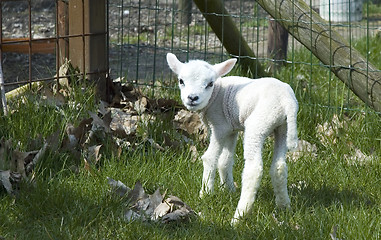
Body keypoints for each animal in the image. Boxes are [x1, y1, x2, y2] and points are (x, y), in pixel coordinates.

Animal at [166, 52, 296, 223]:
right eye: (181, 81)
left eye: (210, 83)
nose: (192, 98)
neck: (217, 93)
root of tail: (286, 101)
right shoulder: (231, 128)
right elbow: (225, 160)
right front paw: (229, 189)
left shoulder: (220, 127)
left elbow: (210, 158)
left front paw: (206, 193)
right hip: (283, 127)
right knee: (279, 167)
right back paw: (284, 206)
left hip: (258, 125)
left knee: (254, 169)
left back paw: (239, 216)